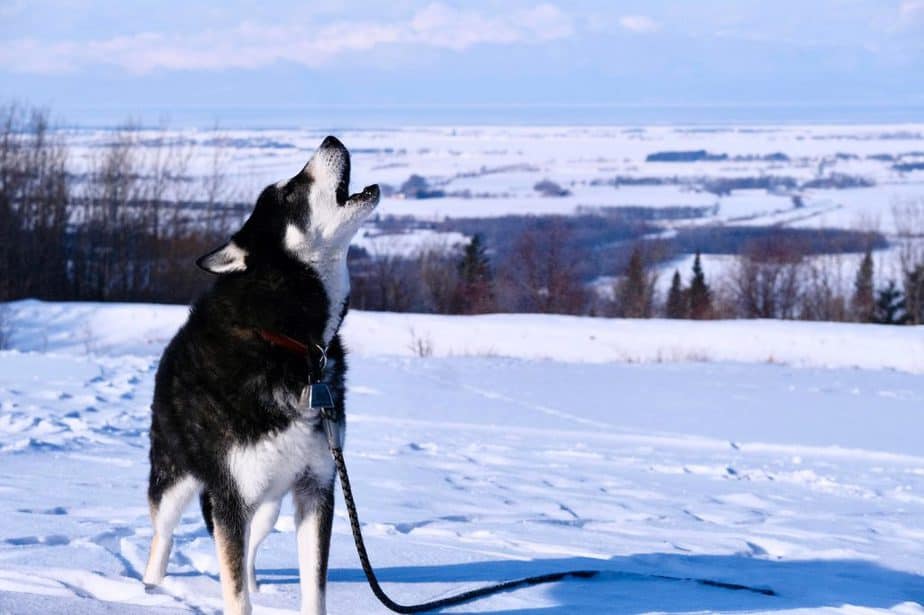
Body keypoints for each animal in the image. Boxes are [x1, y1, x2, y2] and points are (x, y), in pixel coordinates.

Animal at [142, 136, 378, 615]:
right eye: (288, 192)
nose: (331, 139)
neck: (293, 342)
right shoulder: (231, 500)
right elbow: (236, 597)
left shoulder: (316, 487)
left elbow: (314, 589)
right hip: (178, 480)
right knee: (163, 536)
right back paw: (150, 591)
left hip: (267, 503)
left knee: (248, 550)